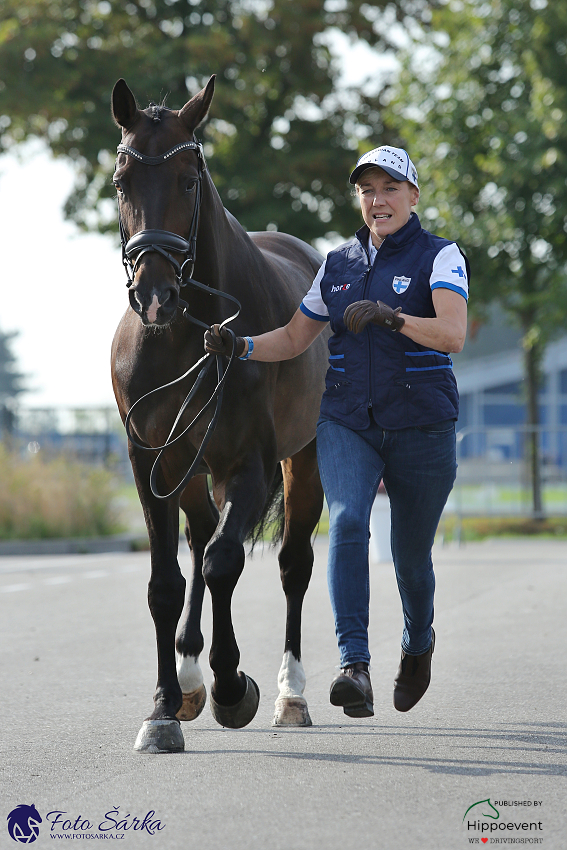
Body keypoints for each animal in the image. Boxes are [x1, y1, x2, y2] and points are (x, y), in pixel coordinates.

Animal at [110, 73, 328, 748]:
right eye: (123, 180)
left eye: (188, 180)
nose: (154, 294)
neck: (190, 334)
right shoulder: (150, 463)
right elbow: (166, 582)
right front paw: (161, 705)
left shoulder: (248, 464)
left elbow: (225, 562)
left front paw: (235, 686)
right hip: (186, 467)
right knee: (200, 535)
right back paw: (187, 675)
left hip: (303, 460)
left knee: (291, 564)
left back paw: (290, 694)